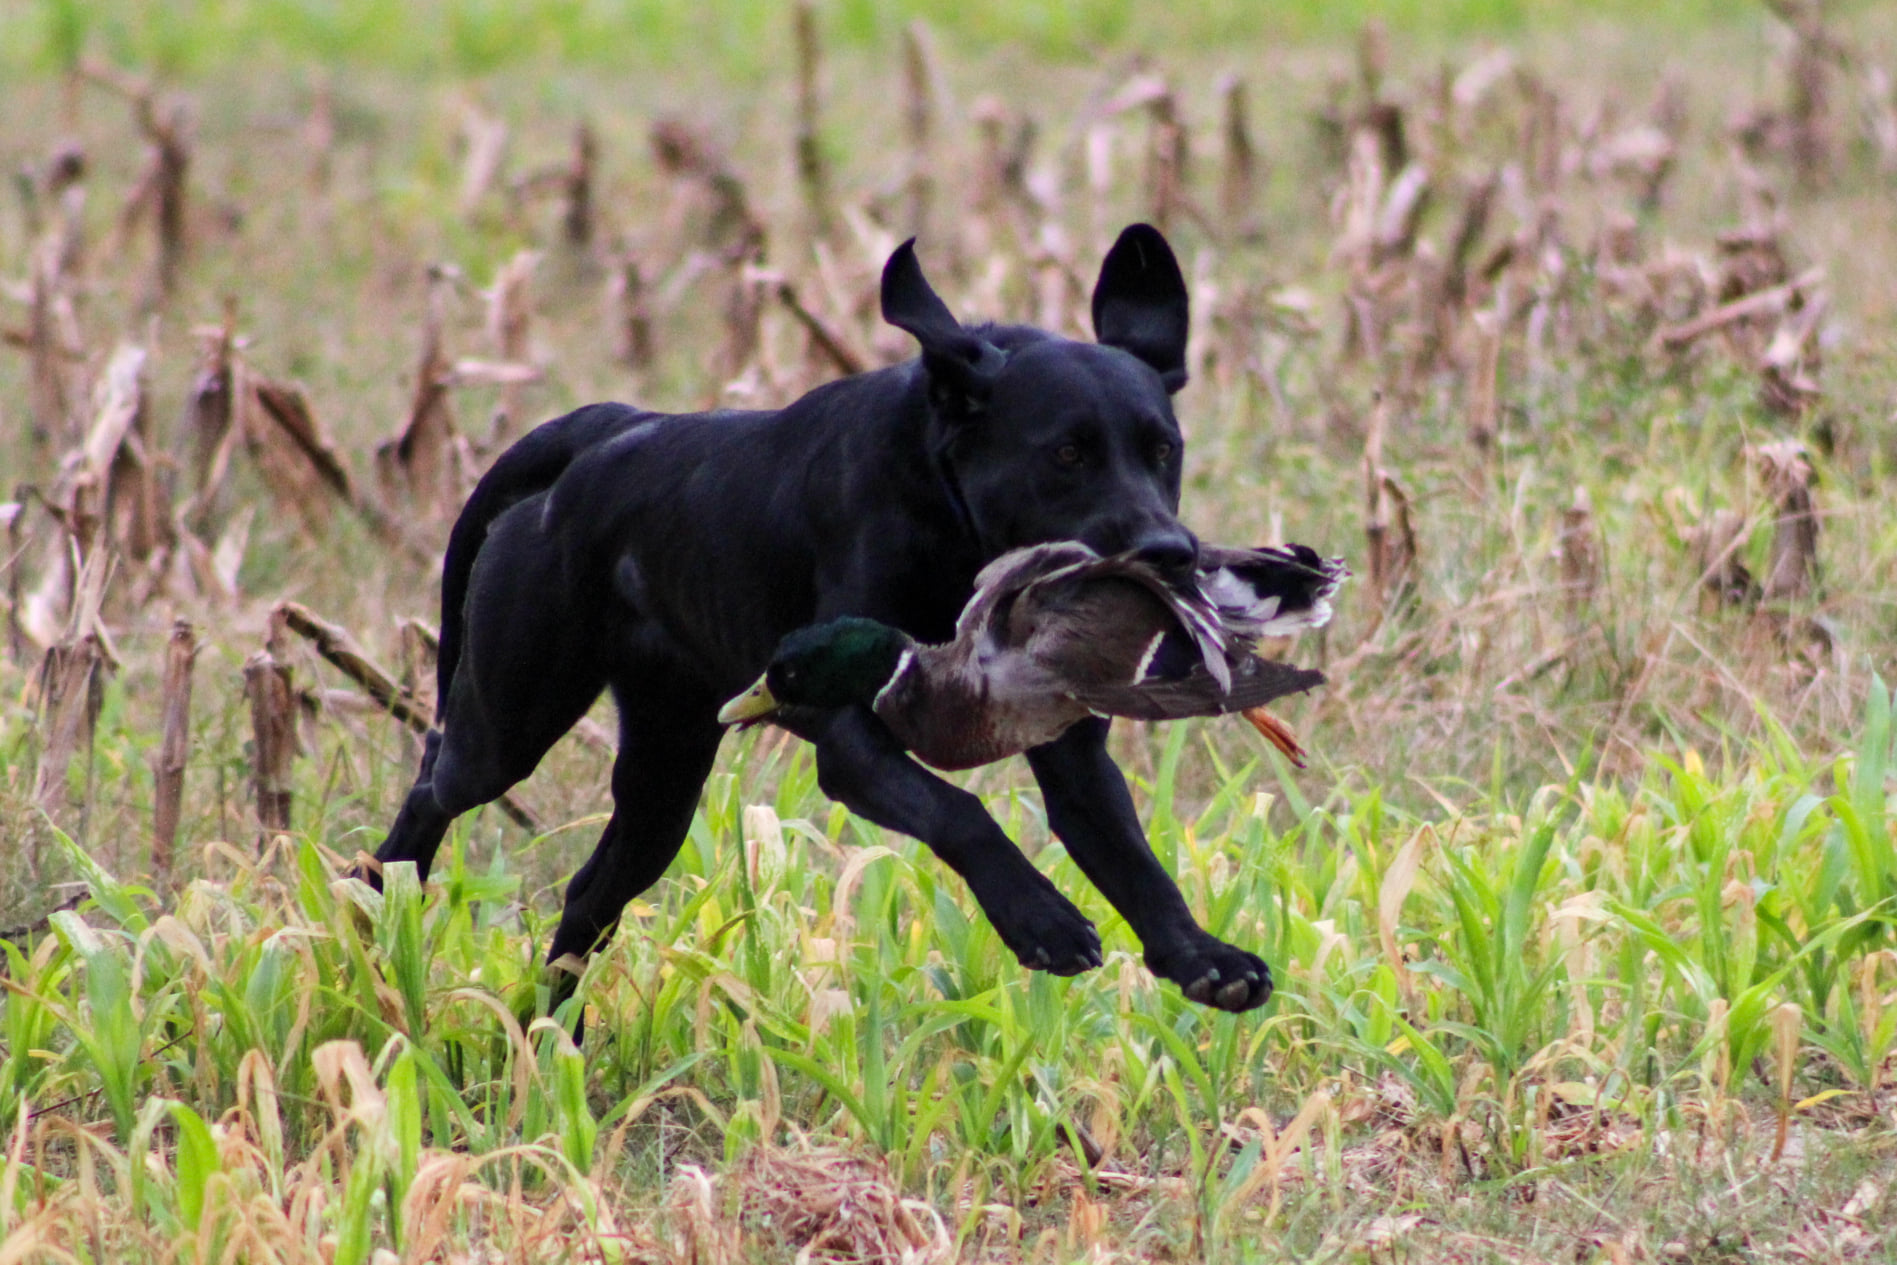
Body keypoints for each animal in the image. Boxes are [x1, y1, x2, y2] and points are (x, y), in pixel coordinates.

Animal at [373, 227, 1274, 1016]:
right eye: (1065, 453)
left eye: (1164, 449)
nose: (1170, 552)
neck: (956, 526)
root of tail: (605, 430)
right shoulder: (847, 733)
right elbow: (959, 810)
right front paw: (1040, 919)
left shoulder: (1072, 752)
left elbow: (1131, 855)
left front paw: (1201, 953)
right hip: (510, 720)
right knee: (433, 781)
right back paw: (378, 900)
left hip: (663, 774)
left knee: (589, 897)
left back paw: (551, 1037)